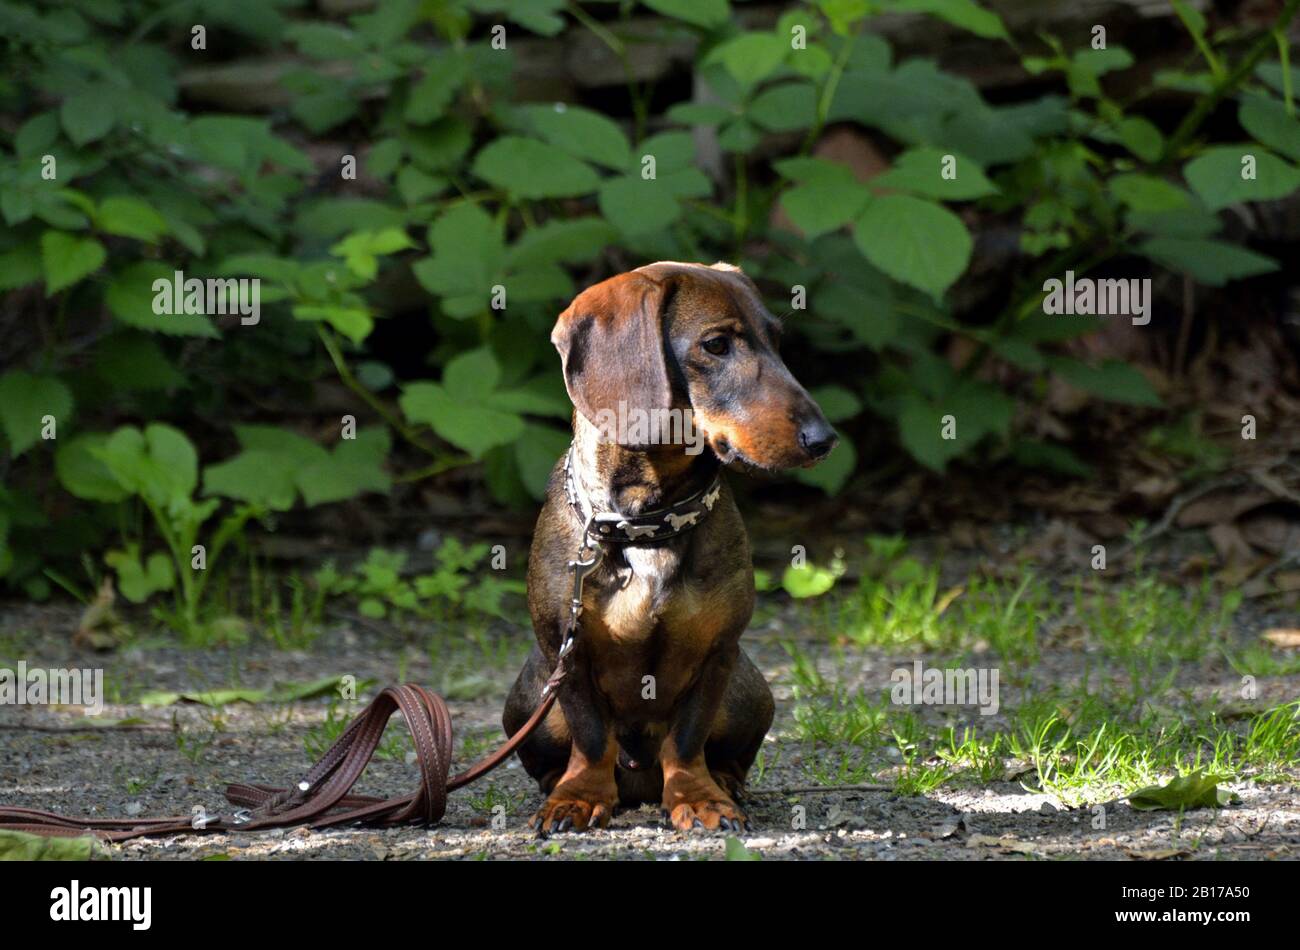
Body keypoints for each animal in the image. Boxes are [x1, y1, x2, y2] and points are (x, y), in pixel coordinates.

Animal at [501, 259, 837, 831]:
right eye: (716, 345)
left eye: (776, 340)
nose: (824, 439)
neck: (645, 524)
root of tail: (638, 781)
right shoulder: (566, 651)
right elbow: (591, 736)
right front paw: (578, 796)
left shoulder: (718, 653)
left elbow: (686, 739)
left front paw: (699, 798)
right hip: (529, 695)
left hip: (751, 690)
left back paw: (722, 781)